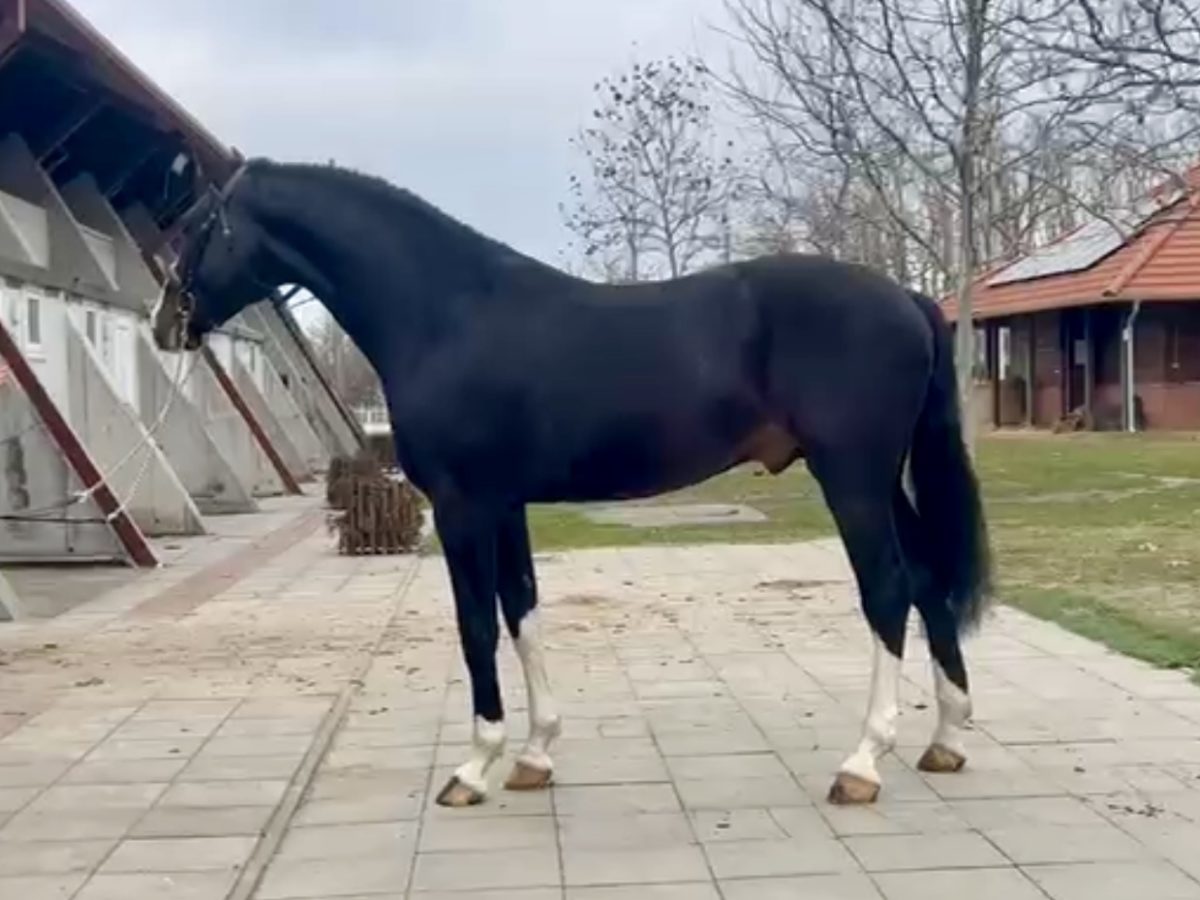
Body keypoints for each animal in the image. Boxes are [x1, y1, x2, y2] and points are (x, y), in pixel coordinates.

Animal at [153, 158, 992, 808]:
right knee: (926, 580)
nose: (166, 324)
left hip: (852, 478)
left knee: (888, 590)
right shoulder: (506, 505)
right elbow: (521, 610)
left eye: (194, 227)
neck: (444, 311)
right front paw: (534, 755)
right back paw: (946, 739)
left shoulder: (462, 506)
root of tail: (908, 298)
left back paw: (862, 764)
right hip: (881, 482)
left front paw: (473, 767)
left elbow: (476, 625)